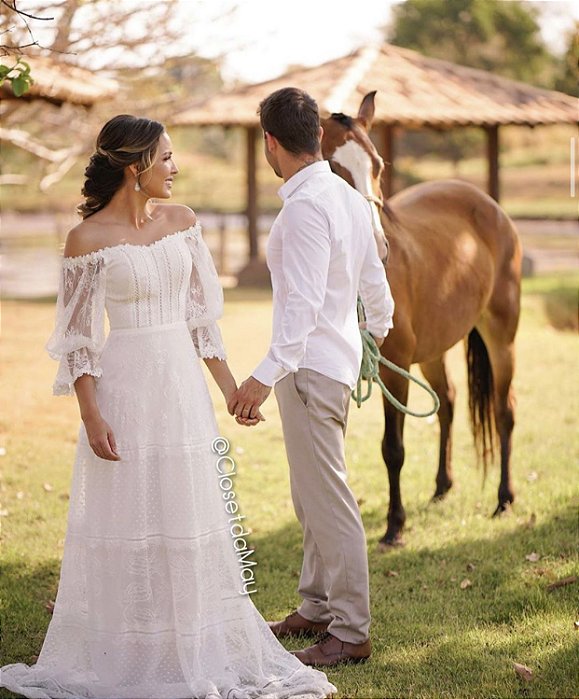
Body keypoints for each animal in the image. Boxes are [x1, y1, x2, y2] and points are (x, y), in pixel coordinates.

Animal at [320, 93, 524, 548]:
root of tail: (490, 206)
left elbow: (392, 449)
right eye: (331, 167)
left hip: (501, 338)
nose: (377, 248)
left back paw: (504, 499)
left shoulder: (394, 370)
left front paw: (395, 526)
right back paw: (442, 487)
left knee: (503, 412)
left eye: (378, 166)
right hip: (433, 349)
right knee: (447, 402)